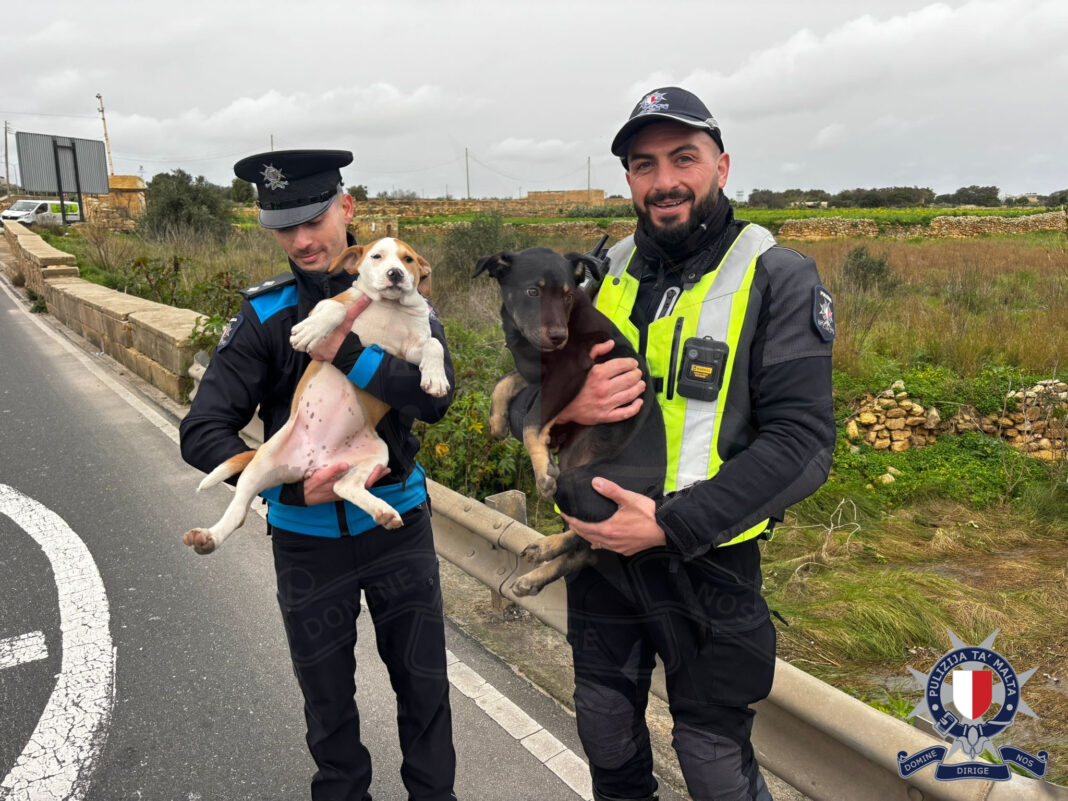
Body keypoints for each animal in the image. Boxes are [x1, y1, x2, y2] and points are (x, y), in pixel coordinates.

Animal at [182, 237, 448, 555]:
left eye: (408, 259)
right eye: (377, 256)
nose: (395, 274)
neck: (389, 307)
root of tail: (314, 463)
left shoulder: (409, 352)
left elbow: (434, 344)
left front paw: (437, 379)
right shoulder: (325, 306)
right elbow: (335, 311)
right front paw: (311, 332)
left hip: (377, 453)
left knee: (342, 487)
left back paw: (383, 511)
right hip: (260, 465)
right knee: (238, 511)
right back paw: (209, 537)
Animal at [474, 247, 666, 596]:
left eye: (566, 296)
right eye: (532, 292)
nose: (558, 336)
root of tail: (654, 496)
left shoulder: (569, 368)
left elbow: (532, 421)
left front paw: (543, 471)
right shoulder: (536, 372)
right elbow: (505, 381)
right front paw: (497, 421)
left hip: (577, 484)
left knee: (590, 542)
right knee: (585, 550)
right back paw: (540, 561)